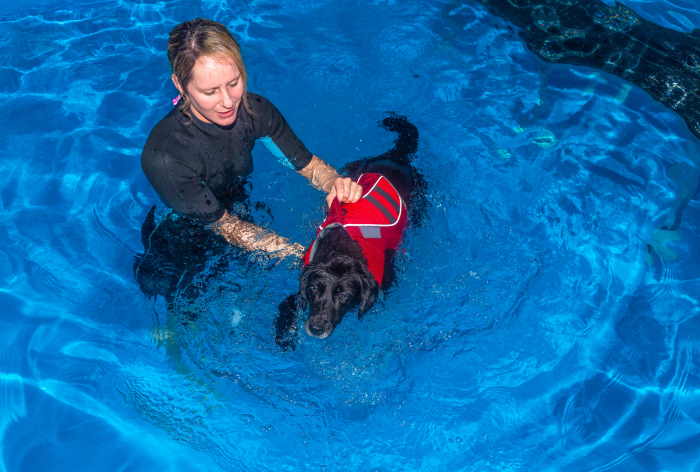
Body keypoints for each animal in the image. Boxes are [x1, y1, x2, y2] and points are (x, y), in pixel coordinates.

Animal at [274, 114, 426, 350]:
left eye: (344, 296)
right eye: (314, 289)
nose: (316, 328)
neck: (341, 250)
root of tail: (395, 157)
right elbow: (287, 304)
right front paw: (285, 335)